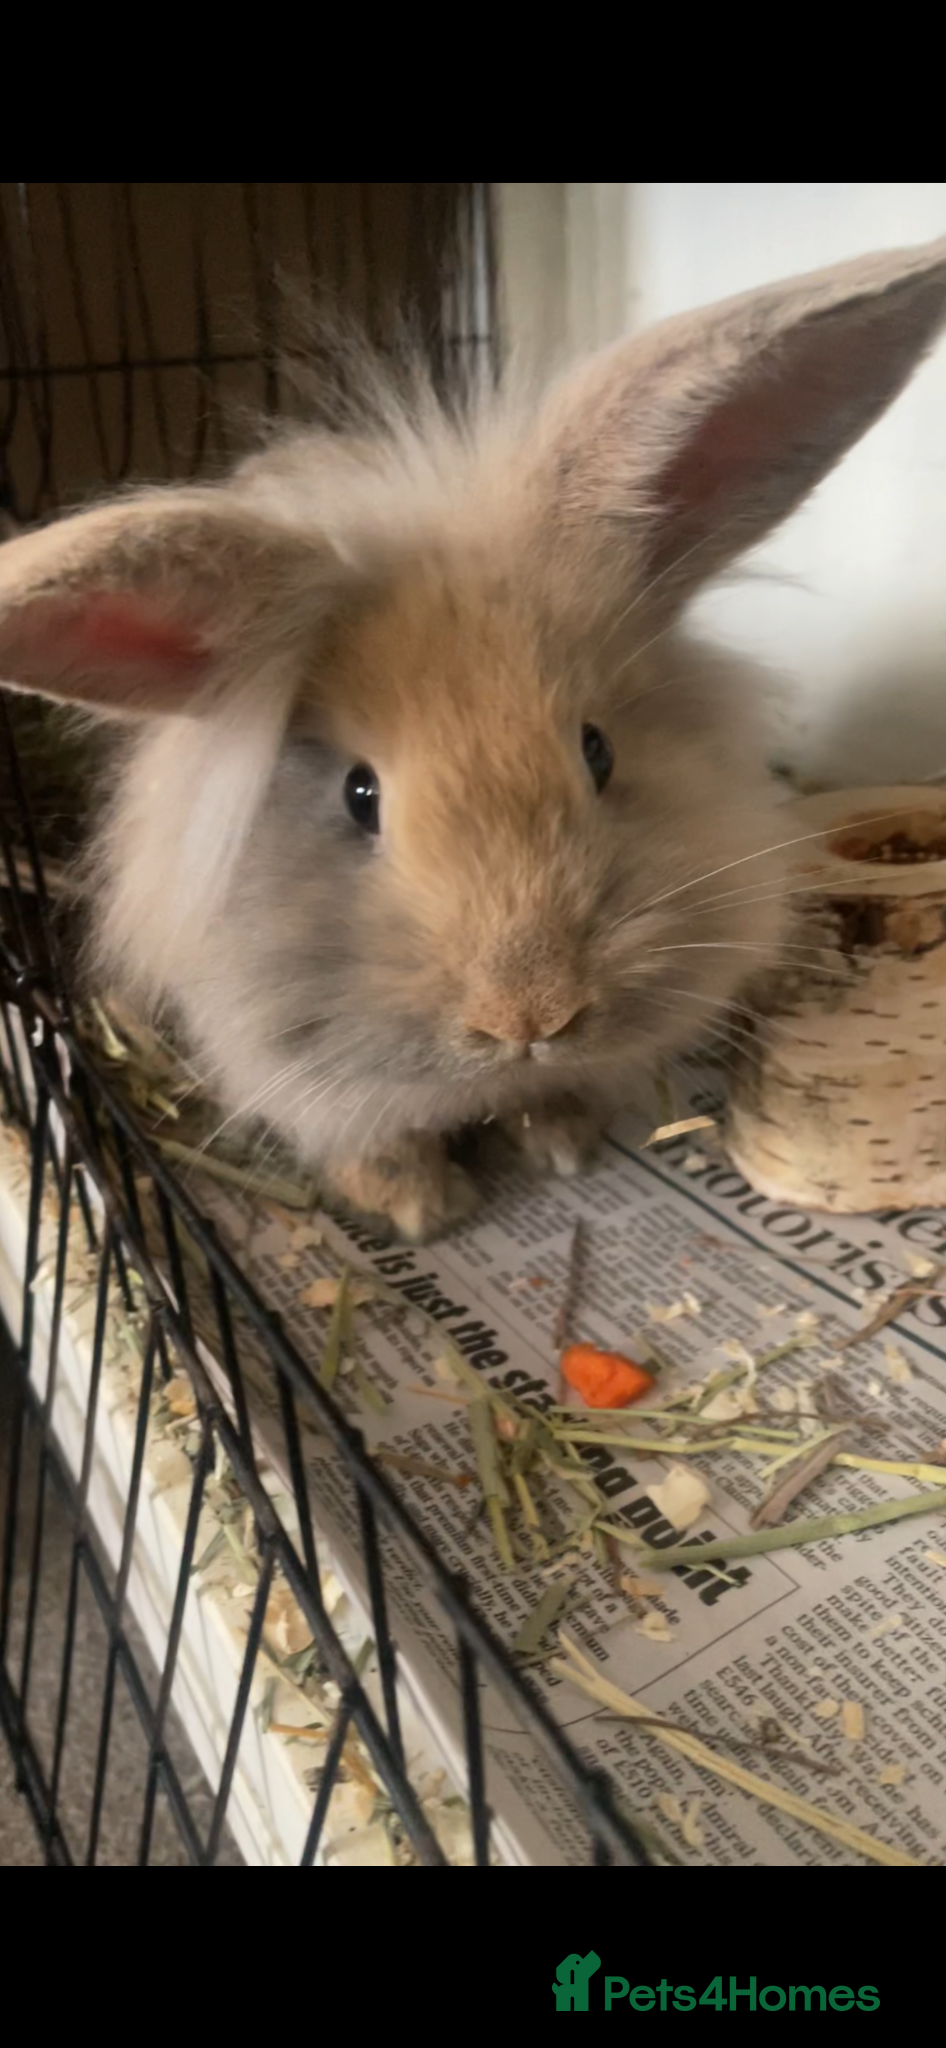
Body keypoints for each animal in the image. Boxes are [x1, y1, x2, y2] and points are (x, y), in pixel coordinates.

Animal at [1, 236, 946, 1241]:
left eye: (598, 750)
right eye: (360, 796)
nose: (530, 1017)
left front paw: (564, 1147)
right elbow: (378, 1143)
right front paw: (423, 1211)